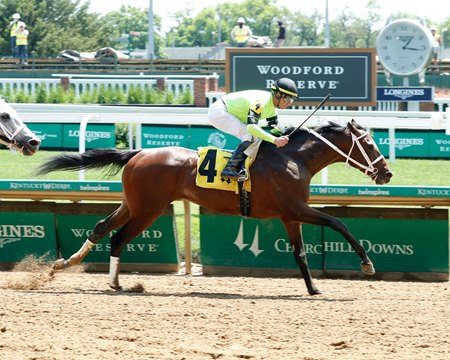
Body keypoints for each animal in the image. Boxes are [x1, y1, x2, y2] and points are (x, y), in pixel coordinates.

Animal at [38, 119, 392, 294]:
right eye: (370, 143)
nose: (387, 173)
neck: (293, 158)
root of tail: (138, 152)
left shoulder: (290, 216)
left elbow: (300, 254)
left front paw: (313, 289)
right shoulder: (296, 210)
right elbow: (339, 223)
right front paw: (367, 265)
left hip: (134, 204)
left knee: (101, 229)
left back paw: (64, 264)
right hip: (148, 209)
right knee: (119, 237)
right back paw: (114, 283)